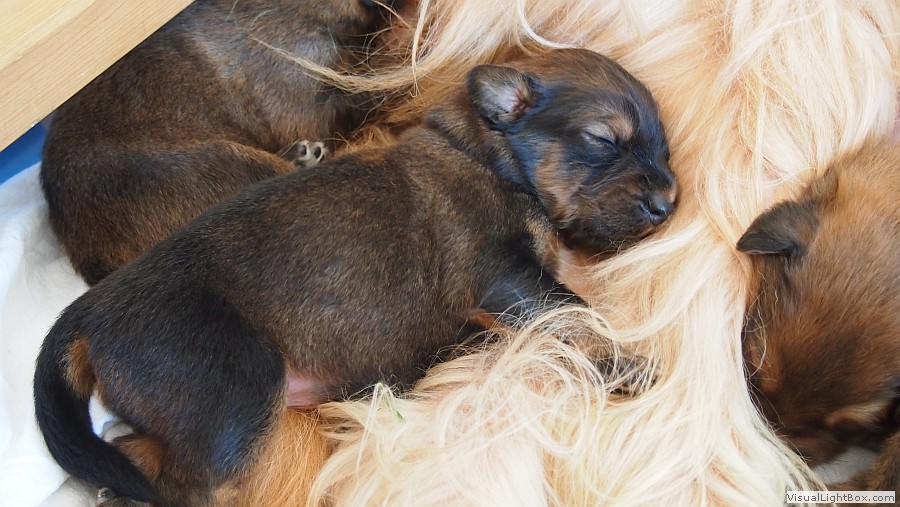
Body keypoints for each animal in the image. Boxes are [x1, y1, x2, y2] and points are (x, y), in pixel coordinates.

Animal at [34, 47, 676, 506]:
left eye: (665, 149)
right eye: (602, 139)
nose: (669, 204)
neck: (488, 156)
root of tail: (87, 311)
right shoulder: (505, 274)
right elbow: (575, 314)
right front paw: (629, 365)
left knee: (129, 452)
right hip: (237, 387)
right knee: (187, 487)